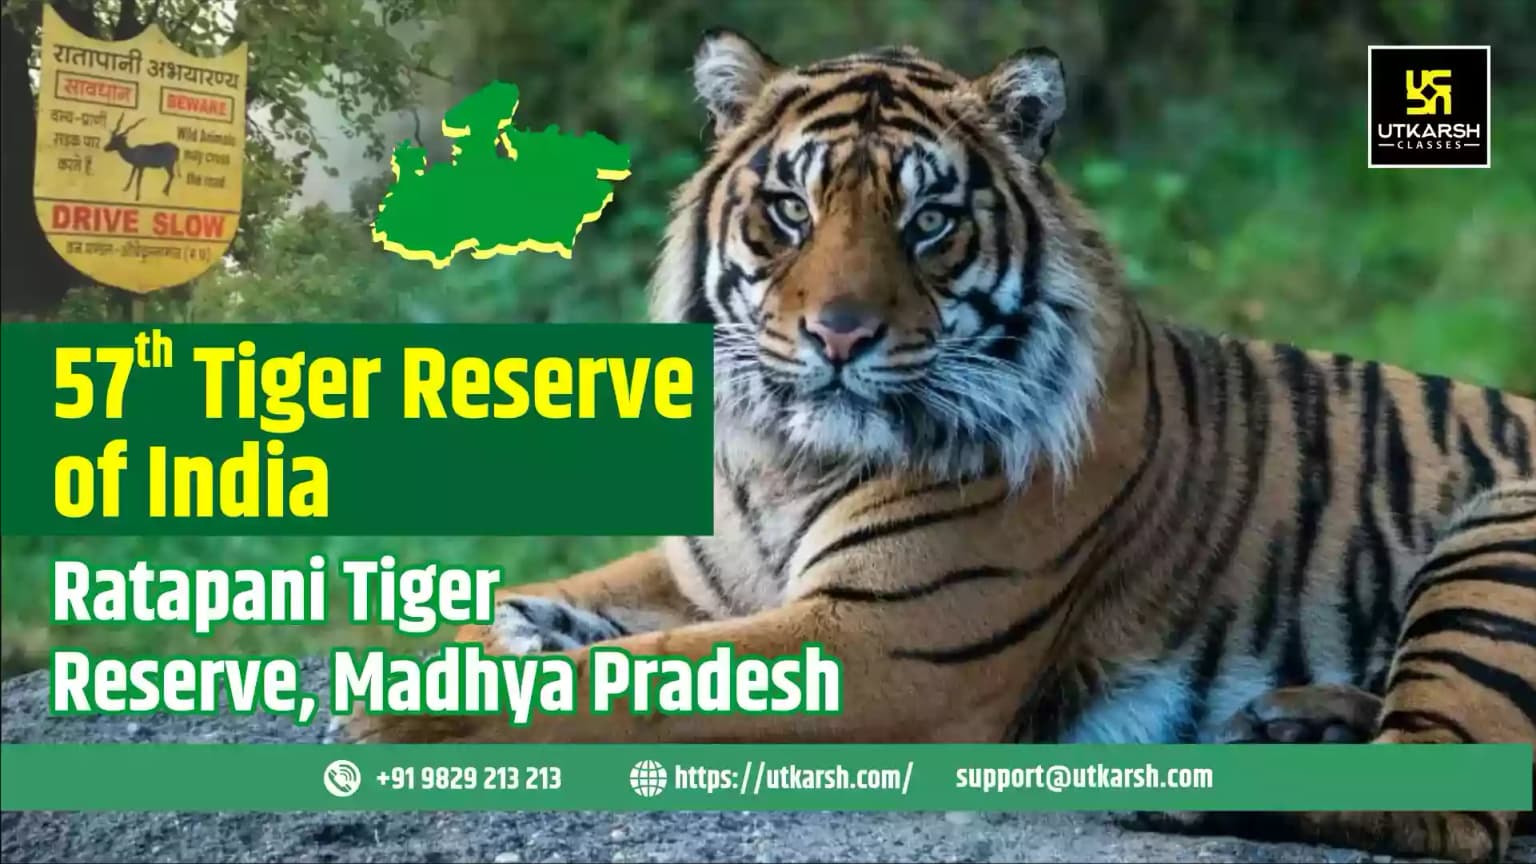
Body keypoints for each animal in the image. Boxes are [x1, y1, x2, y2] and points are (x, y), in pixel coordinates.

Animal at [341, 29, 1536, 863]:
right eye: (789, 207)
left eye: (928, 221)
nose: (838, 334)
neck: (787, 456)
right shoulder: (710, 572)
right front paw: (498, 634)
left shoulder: (884, 644)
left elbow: (637, 683)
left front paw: (401, 719)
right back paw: (1283, 723)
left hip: (1496, 538)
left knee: (1446, 802)